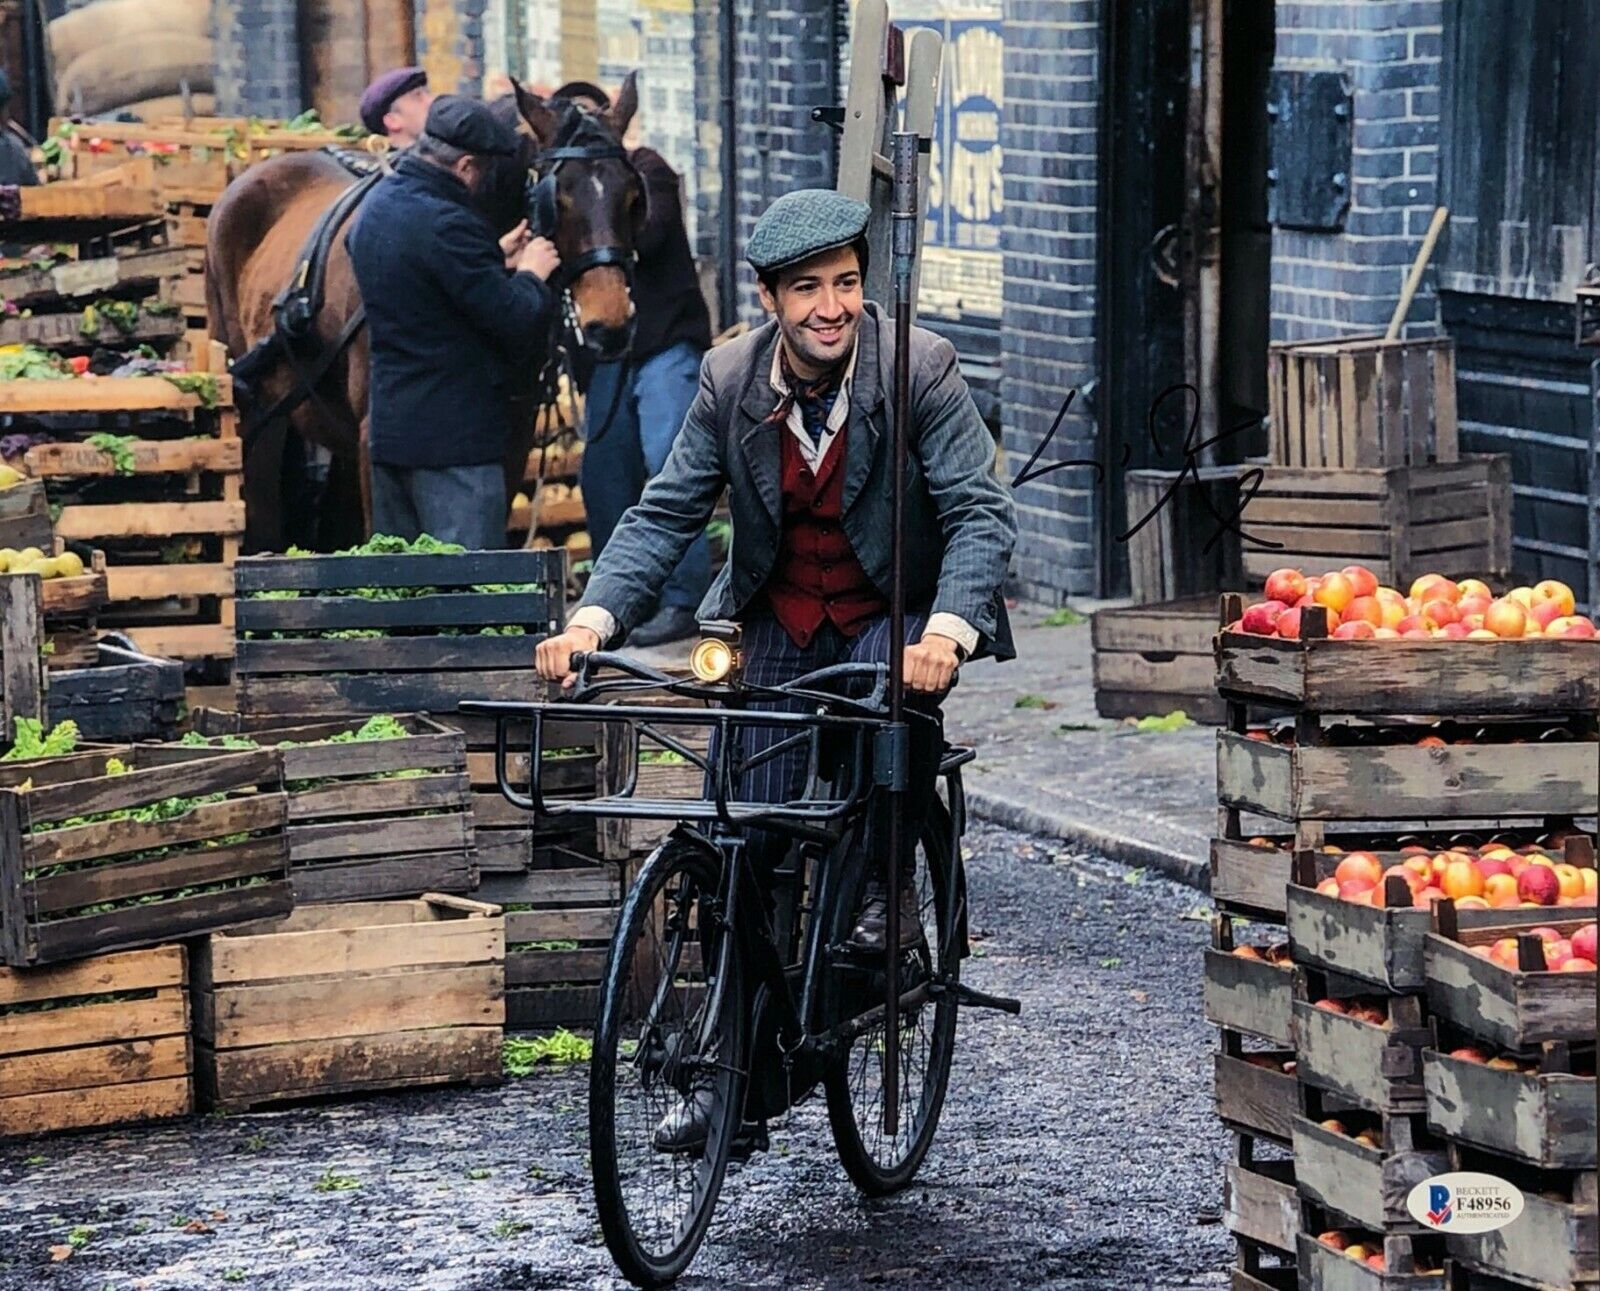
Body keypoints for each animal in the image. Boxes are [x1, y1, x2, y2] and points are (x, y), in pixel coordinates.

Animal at [206, 75, 643, 550]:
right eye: (556, 199)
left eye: (631, 195)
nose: (611, 326)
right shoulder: (373, 439)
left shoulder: (510, 437)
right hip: (254, 405)